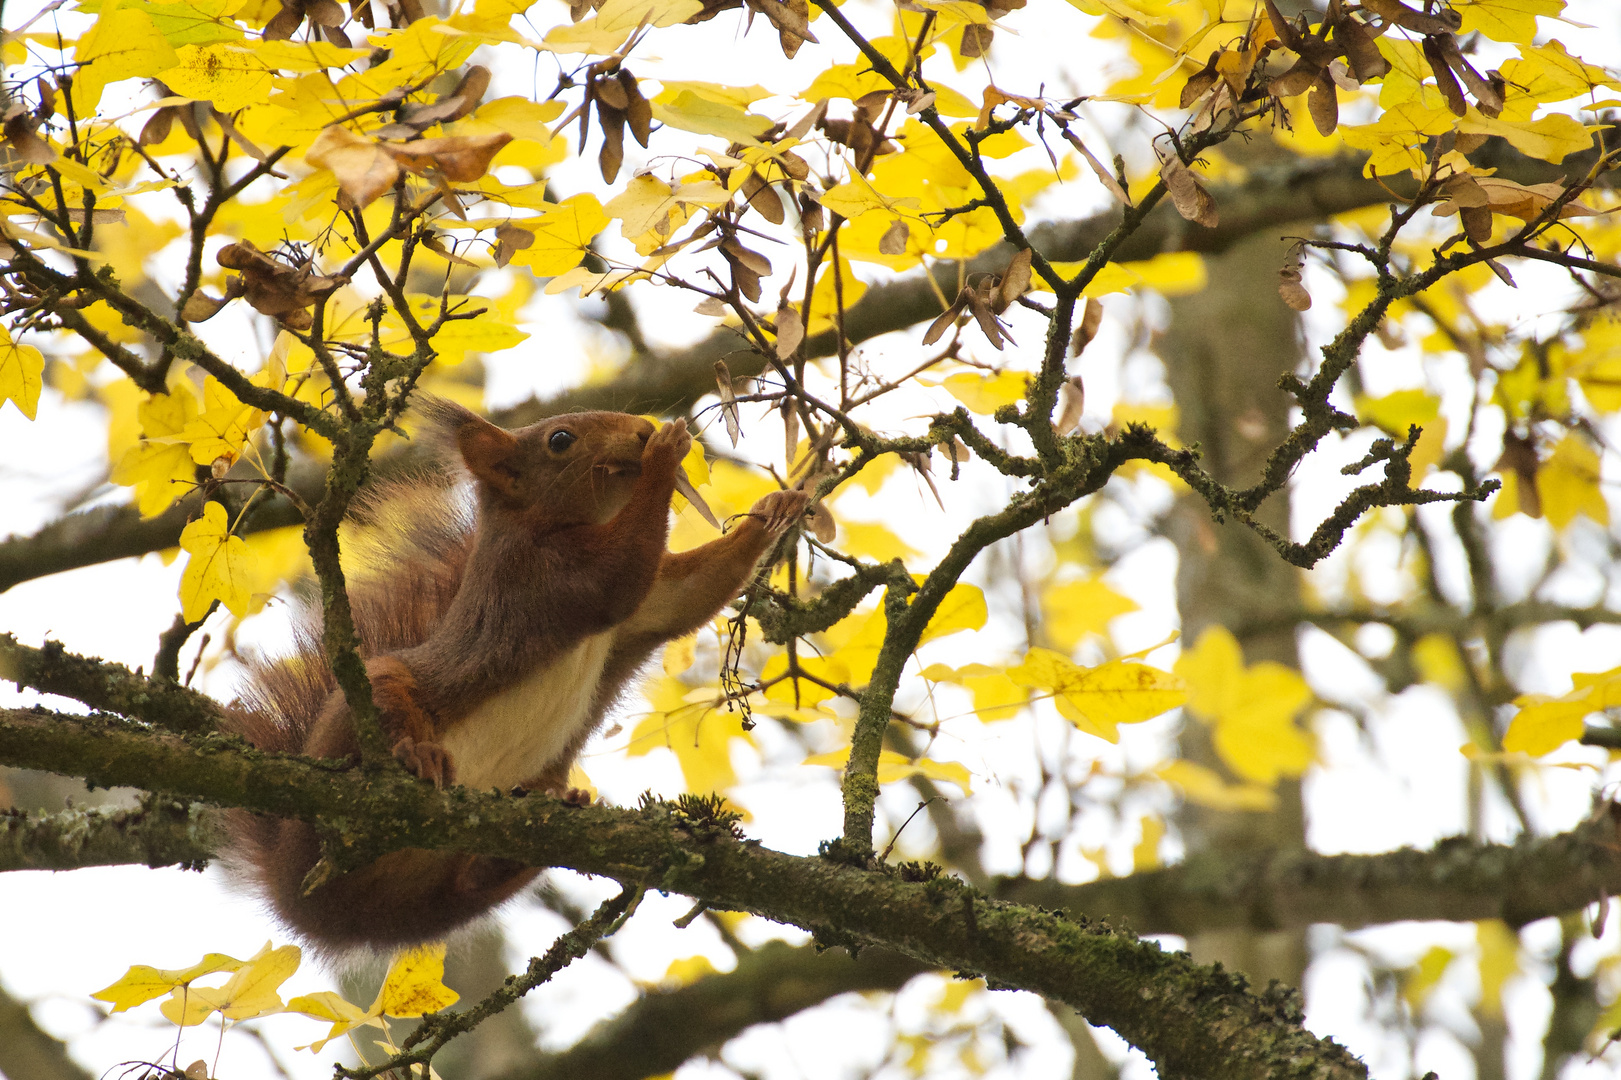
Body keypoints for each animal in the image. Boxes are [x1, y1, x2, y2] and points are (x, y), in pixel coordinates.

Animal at [228, 398, 804, 953]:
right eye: (560, 440)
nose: (642, 429)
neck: (543, 523)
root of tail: (305, 907)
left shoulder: (646, 609)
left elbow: (692, 593)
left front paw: (774, 510)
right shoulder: (541, 576)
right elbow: (618, 574)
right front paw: (665, 452)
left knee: (466, 887)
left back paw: (537, 824)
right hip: (370, 700)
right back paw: (416, 754)